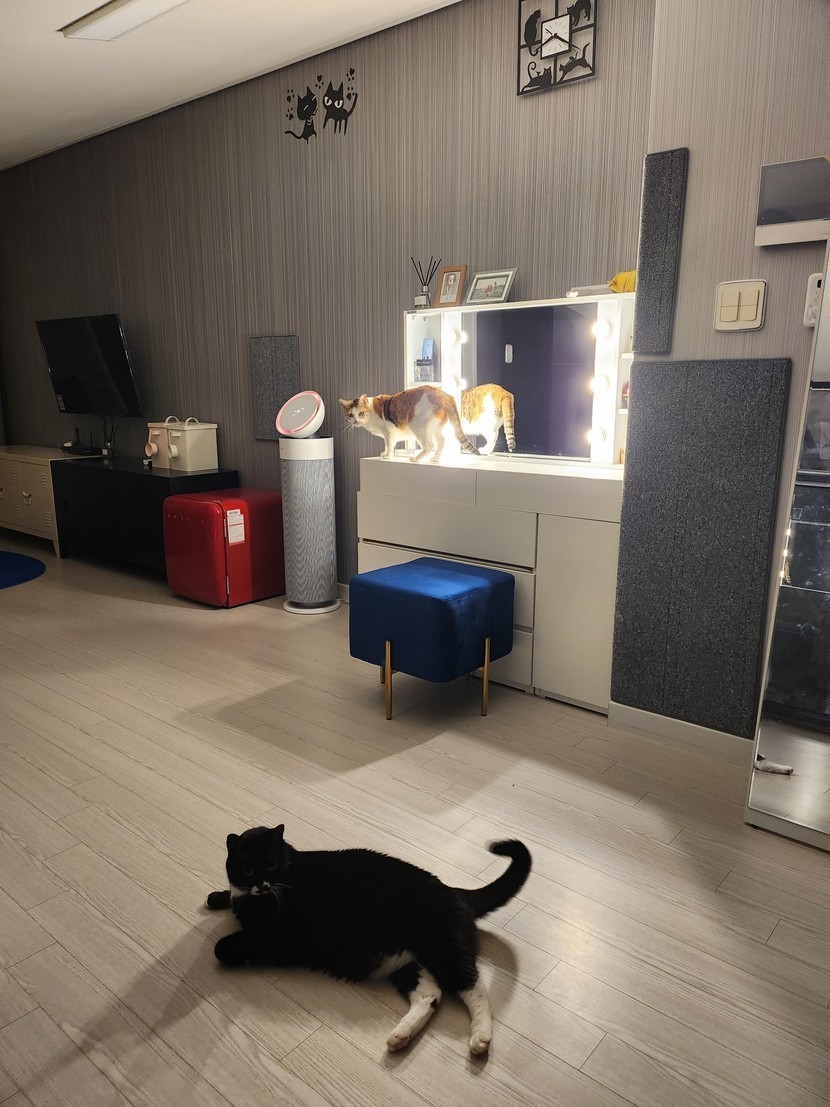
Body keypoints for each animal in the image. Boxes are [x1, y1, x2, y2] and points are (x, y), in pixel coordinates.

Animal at [207, 824, 532, 1054]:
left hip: (444, 947)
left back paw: (481, 1038)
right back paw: (401, 1036)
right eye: (249, 869)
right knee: (431, 995)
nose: (263, 885)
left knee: (473, 986)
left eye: (272, 866)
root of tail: (452, 889)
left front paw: (229, 943)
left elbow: (222, 946)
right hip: (407, 962)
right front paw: (217, 897)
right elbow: (227, 898)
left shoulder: (277, 938)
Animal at [339, 385, 479, 463]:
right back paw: (434, 459)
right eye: (350, 415)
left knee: (429, 445)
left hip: (418, 426)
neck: (372, 411)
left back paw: (416, 459)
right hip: (435, 429)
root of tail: (444, 395)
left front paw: (387, 456)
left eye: (361, 413)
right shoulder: (388, 434)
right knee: (441, 441)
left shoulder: (387, 432)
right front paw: (384, 453)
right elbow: (387, 445)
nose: (356, 421)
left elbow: (389, 445)